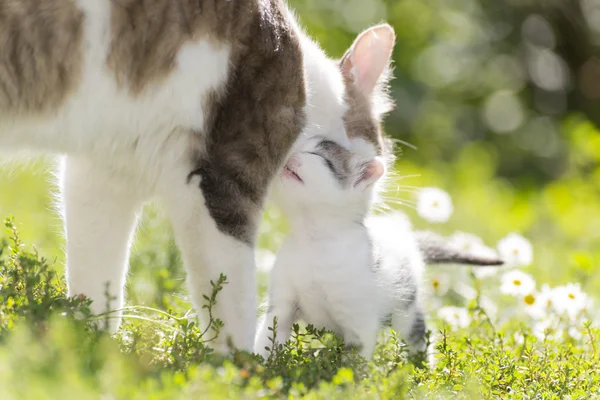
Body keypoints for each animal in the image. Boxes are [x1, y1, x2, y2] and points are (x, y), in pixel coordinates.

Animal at [0, 0, 398, 352]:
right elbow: (233, 303)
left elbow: (98, 281)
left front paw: (89, 345)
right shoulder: (223, 185)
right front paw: (242, 371)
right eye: (377, 158)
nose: (377, 187)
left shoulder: (103, 175)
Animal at [253, 138, 502, 360]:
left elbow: (354, 362)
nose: (287, 154)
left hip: (405, 310)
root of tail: (406, 238)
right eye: (296, 144)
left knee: (417, 335)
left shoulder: (359, 319)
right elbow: (268, 339)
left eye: (319, 156)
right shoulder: (281, 304)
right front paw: (260, 368)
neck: (313, 241)